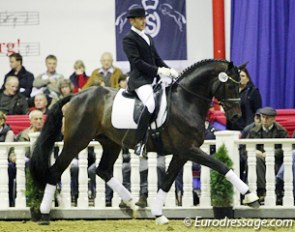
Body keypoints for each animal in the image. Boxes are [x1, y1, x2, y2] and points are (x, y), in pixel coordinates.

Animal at [31, 59, 260, 225]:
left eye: (241, 85)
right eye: (229, 85)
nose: (236, 116)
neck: (186, 102)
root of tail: (75, 96)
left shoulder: (181, 153)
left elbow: (167, 182)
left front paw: (158, 214)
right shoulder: (188, 149)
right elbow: (221, 166)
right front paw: (251, 197)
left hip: (111, 143)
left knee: (102, 170)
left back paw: (131, 203)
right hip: (76, 143)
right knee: (55, 171)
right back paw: (43, 215)